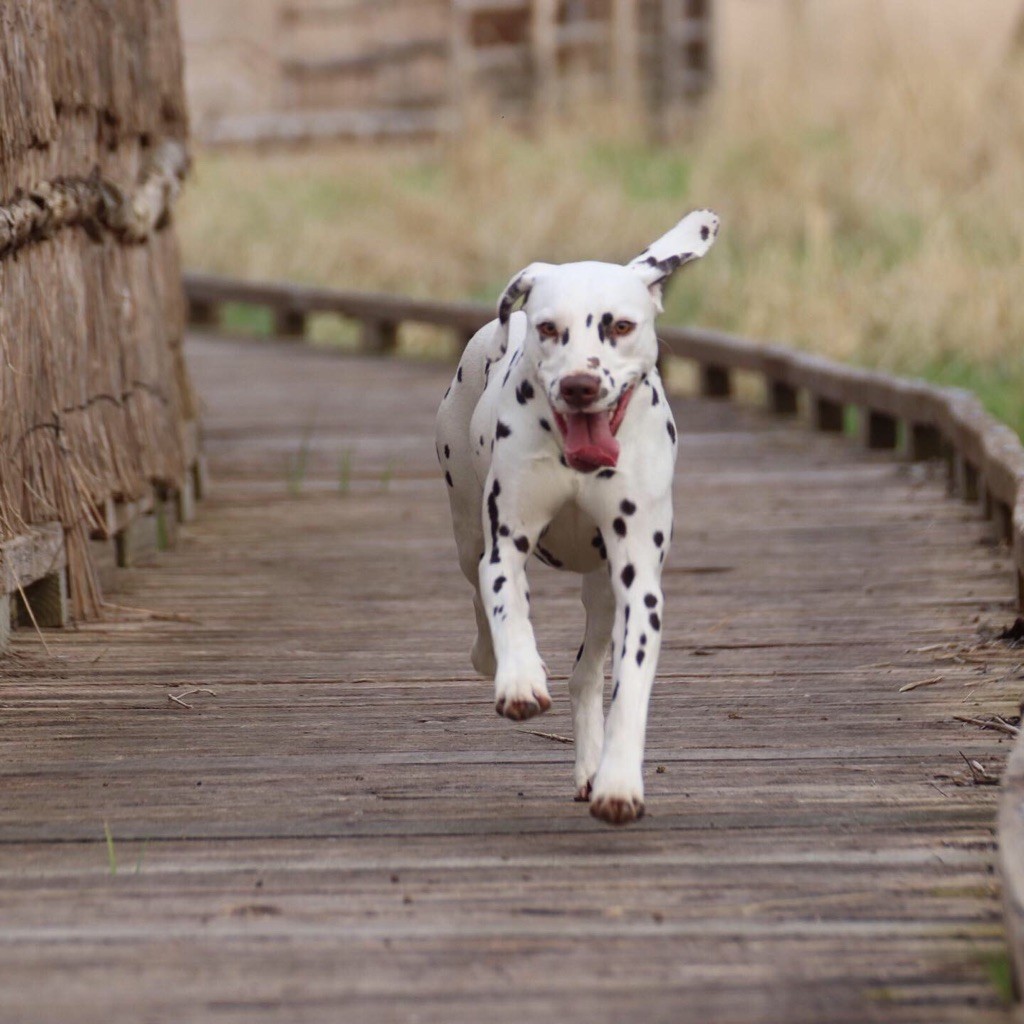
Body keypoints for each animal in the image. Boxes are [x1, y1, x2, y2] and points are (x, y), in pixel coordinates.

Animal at [436, 207, 716, 823]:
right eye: (548, 328)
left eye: (621, 326)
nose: (580, 384)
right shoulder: (505, 543)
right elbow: (507, 606)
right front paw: (518, 678)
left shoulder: (638, 584)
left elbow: (629, 685)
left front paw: (618, 782)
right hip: (467, 533)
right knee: (478, 591)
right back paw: (493, 660)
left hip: (602, 590)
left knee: (587, 676)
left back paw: (590, 766)